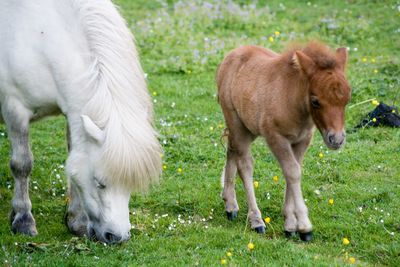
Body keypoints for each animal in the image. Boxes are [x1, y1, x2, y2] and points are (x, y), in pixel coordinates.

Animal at [0, 0, 162, 244]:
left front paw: (77, 222)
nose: (117, 237)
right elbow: (22, 164)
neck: (39, 34)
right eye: (99, 182)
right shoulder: (14, 109)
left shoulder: (73, 112)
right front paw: (23, 219)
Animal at [217, 42, 352, 243]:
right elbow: (292, 172)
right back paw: (256, 219)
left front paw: (290, 224)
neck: (292, 101)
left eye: (347, 99)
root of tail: (231, 55)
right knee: (245, 165)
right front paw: (304, 227)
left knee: (232, 150)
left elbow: (293, 172)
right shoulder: (276, 137)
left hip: (247, 128)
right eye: (315, 101)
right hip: (235, 122)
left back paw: (230, 204)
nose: (336, 139)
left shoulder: (302, 140)